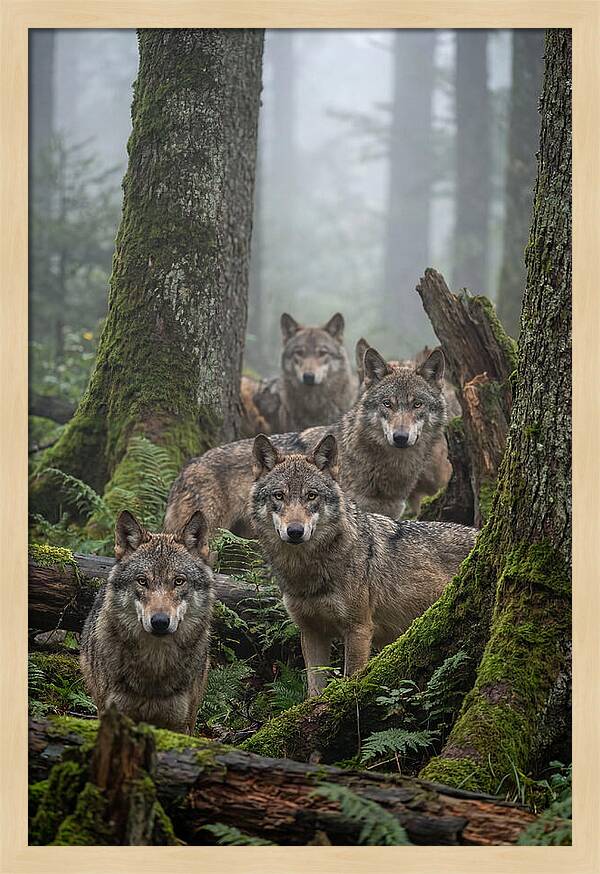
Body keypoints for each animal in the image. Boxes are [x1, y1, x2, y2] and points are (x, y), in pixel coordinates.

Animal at [250, 433, 476, 695]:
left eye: (311, 495)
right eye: (279, 495)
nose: (295, 531)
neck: (306, 572)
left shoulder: (358, 629)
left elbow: (351, 680)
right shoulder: (311, 632)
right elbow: (313, 690)